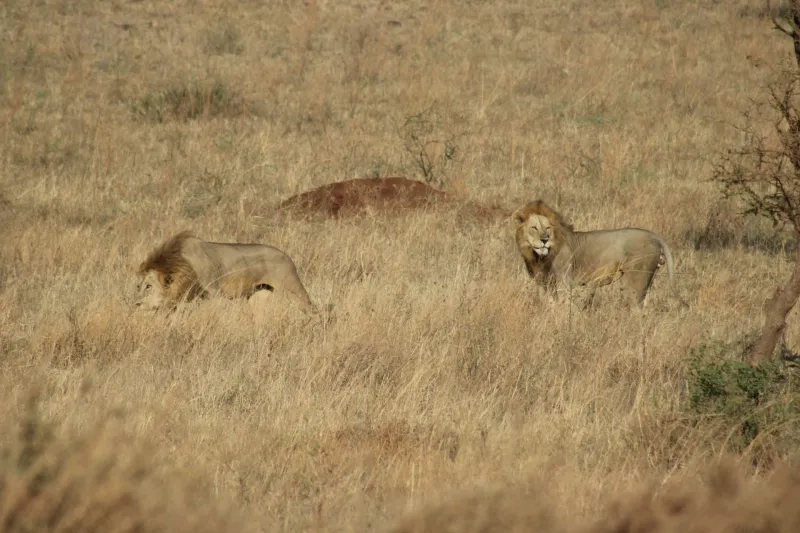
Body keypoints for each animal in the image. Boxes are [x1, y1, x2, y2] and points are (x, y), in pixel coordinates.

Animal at [135, 231, 317, 314]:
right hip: (260, 294)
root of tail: (287, 256)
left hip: (293, 288)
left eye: (149, 286)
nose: (137, 304)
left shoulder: (214, 293)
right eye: (139, 286)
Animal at [512, 200, 688, 308]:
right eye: (534, 228)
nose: (544, 240)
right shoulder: (545, 284)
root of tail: (654, 236)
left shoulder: (563, 282)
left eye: (547, 228)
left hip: (636, 279)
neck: (538, 257)